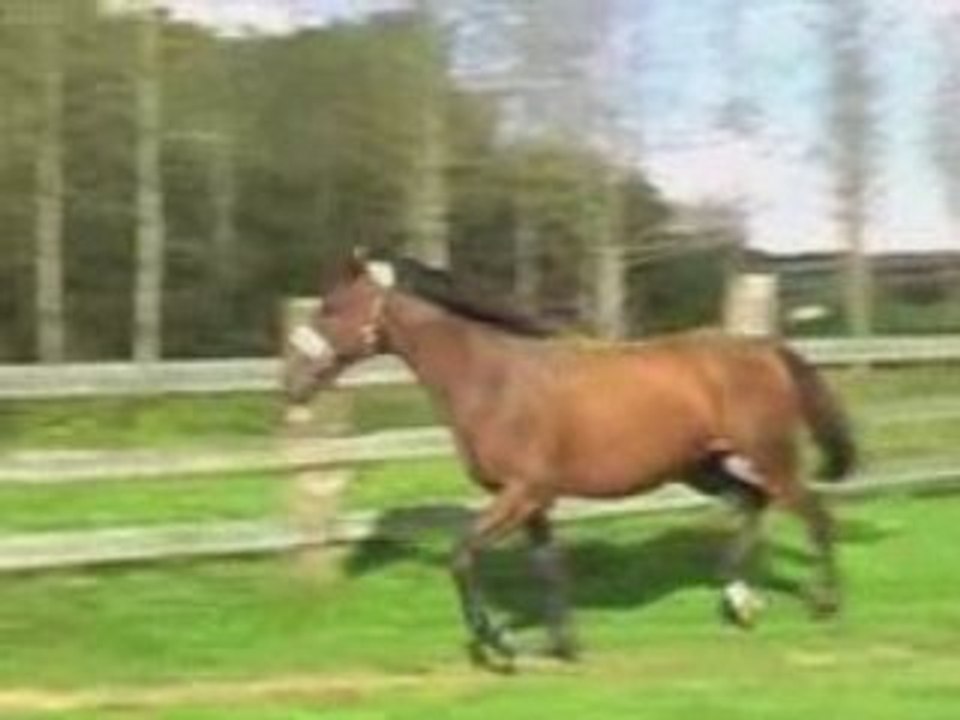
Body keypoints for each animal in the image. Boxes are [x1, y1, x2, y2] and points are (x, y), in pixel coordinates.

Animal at [284, 251, 857, 666]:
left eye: (332, 307)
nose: (291, 383)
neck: (495, 380)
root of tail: (766, 348)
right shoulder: (534, 501)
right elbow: (547, 567)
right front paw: (565, 646)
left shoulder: (522, 491)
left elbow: (462, 554)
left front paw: (498, 645)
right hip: (701, 466)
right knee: (751, 501)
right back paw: (742, 602)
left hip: (770, 456)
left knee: (815, 515)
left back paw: (825, 606)